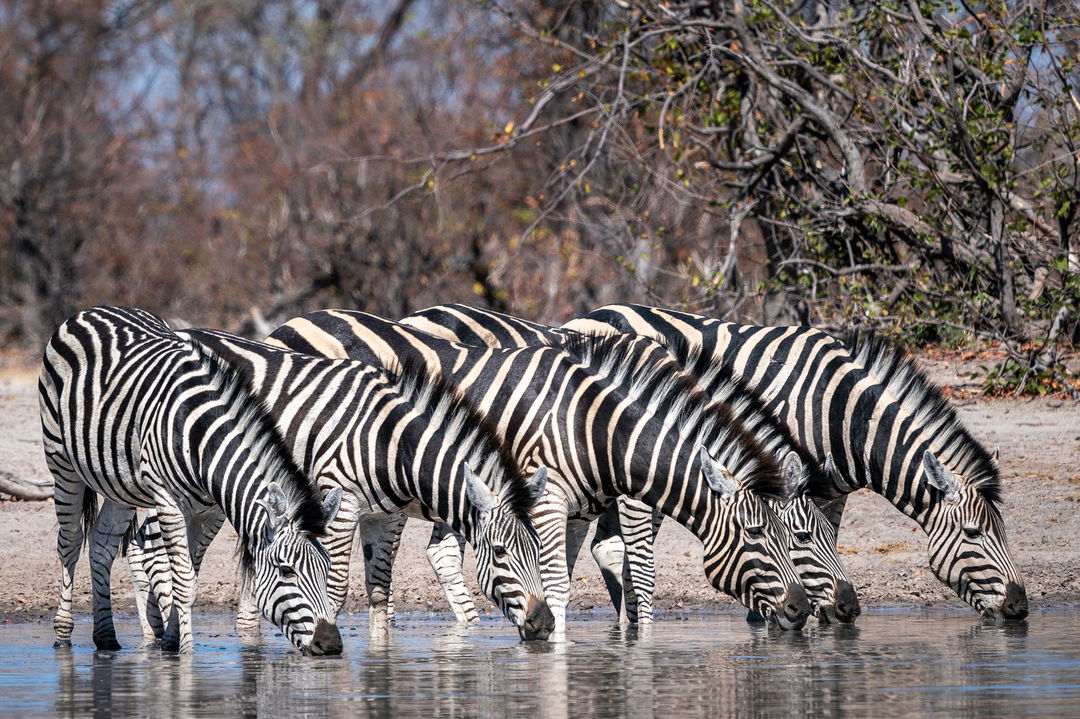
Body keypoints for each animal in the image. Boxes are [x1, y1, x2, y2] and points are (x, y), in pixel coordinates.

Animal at [38, 306, 344, 654]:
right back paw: (63, 635)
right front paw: (185, 653)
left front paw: (171, 641)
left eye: (326, 568)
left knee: (102, 543)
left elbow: (191, 577)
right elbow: (182, 580)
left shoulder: (211, 512)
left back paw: (105, 637)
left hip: (120, 483)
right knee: (70, 541)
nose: (331, 644)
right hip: (61, 460)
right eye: (286, 570)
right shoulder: (169, 501)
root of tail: (92, 310)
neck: (204, 442)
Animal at [128, 328, 555, 641]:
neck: (392, 442)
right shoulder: (341, 503)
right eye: (500, 552)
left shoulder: (385, 516)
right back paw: (153, 635)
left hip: (217, 498)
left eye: (538, 549)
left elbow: (379, 592)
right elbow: (333, 589)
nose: (546, 624)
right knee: (147, 553)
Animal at [267, 310, 813, 634]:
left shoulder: (576, 511)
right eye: (759, 534)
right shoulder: (570, 502)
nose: (802, 610)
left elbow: (563, 580)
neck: (598, 426)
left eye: (795, 536)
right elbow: (629, 571)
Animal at [569, 304, 1028, 620]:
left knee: (603, 544)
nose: (1021, 608)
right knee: (628, 548)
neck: (841, 414)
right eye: (973, 533)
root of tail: (588, 318)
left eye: (1004, 531)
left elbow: (823, 544)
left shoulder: (831, 492)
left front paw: (828, 611)